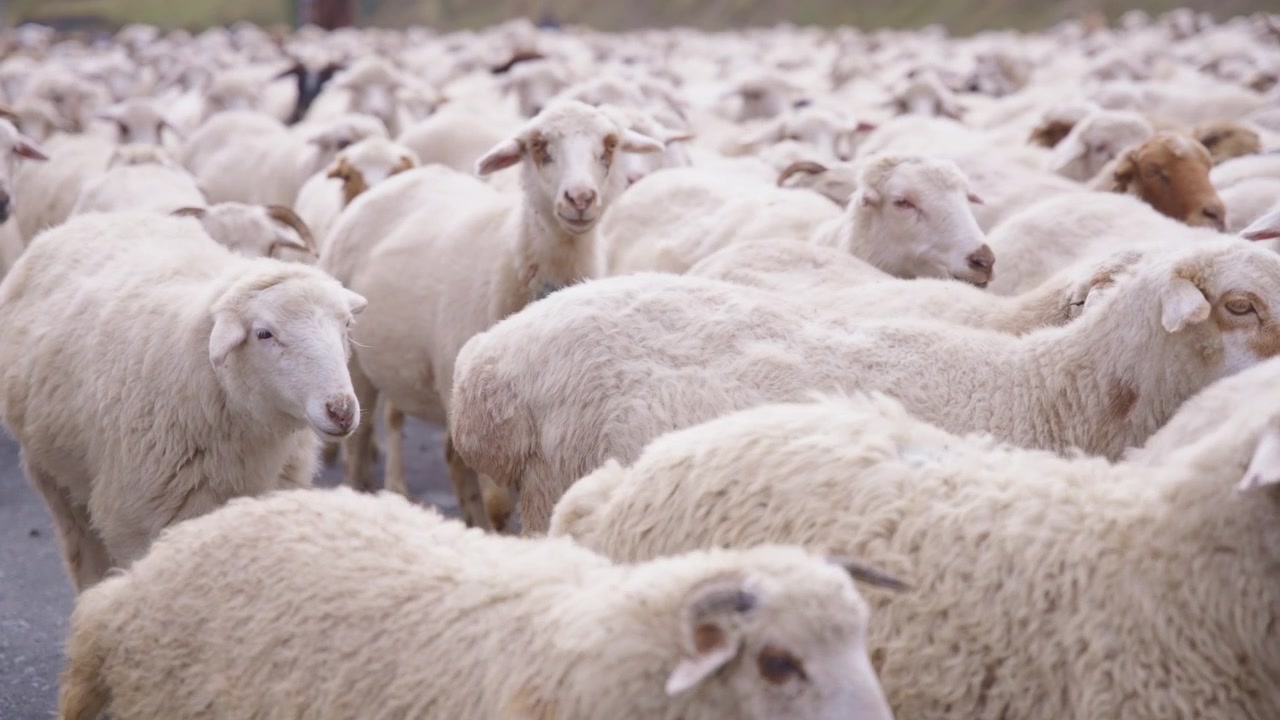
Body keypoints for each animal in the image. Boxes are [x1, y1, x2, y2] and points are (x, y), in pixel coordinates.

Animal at [0, 211, 366, 591]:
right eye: (264, 333)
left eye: (346, 324)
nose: (341, 411)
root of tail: (89, 218)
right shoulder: (137, 522)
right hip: (53, 477)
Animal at [322, 99, 662, 528]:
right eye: (538, 146)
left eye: (611, 145)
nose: (580, 198)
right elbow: (498, 502)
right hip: (358, 367)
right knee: (361, 445)